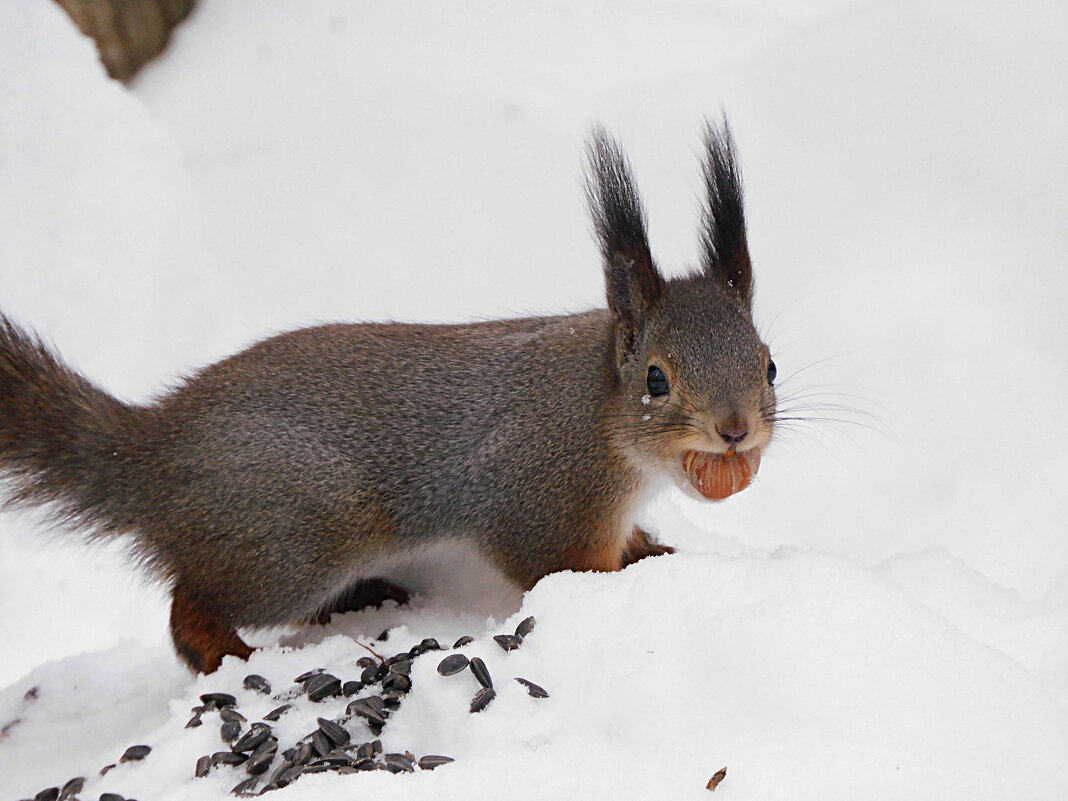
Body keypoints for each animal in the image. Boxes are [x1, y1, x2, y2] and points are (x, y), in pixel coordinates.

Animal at [0, 122, 777, 674]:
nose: (734, 430)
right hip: (293, 532)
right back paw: (233, 657)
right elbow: (558, 565)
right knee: (193, 607)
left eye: (769, 364)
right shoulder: (538, 499)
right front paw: (626, 572)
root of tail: (148, 452)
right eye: (656, 379)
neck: (598, 417)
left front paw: (654, 547)